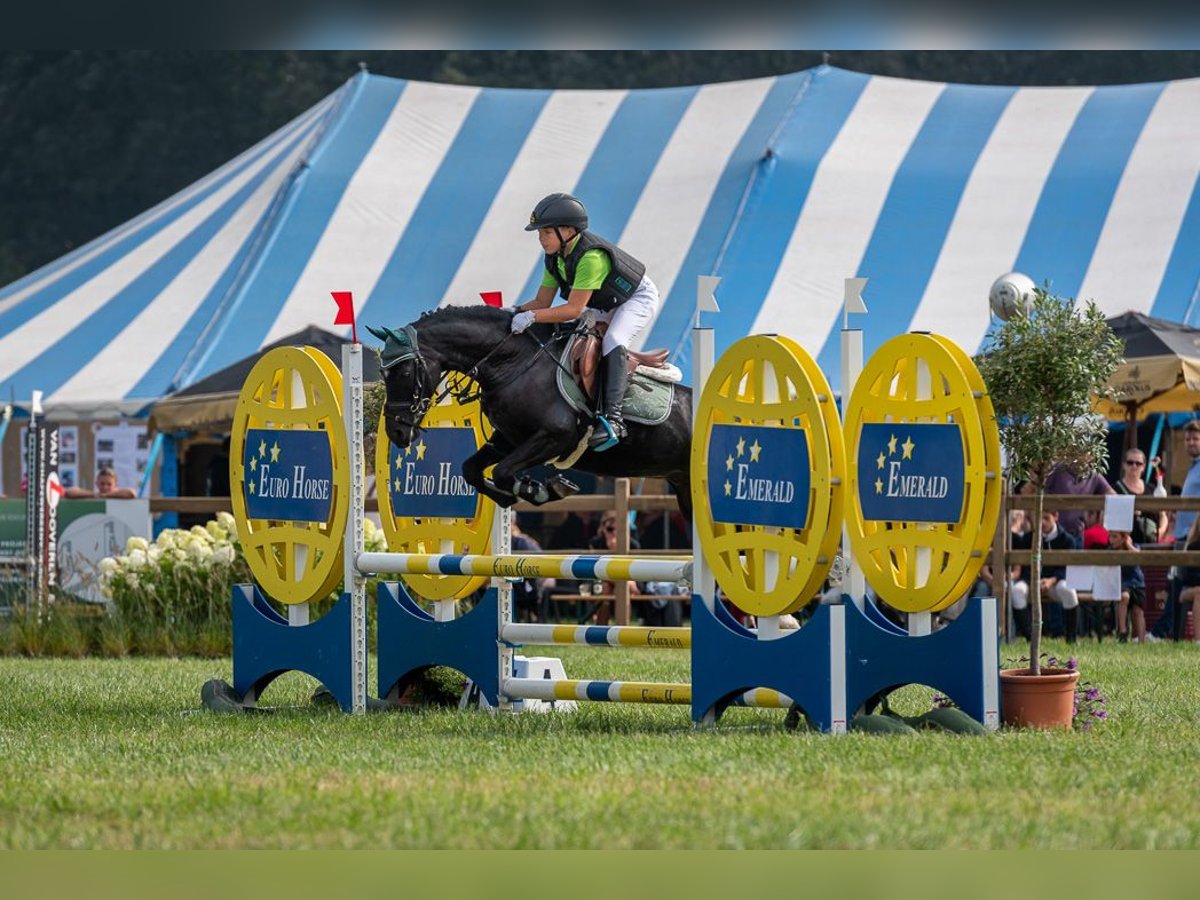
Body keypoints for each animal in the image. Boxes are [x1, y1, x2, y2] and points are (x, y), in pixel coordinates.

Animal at [374, 307, 696, 513]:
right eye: (383, 373)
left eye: (404, 373)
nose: (397, 431)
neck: (513, 361)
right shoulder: (509, 438)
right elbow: (471, 469)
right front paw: (513, 496)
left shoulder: (556, 437)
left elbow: (503, 471)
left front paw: (539, 489)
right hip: (684, 487)